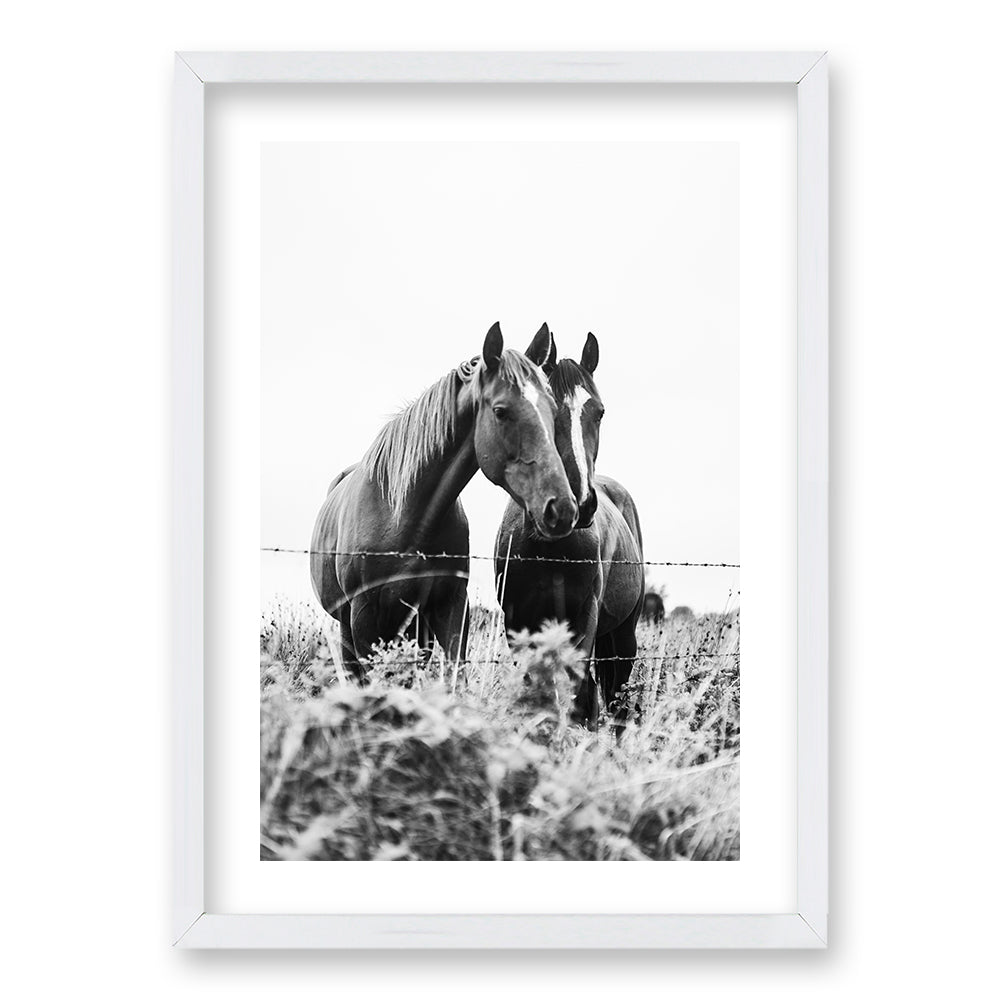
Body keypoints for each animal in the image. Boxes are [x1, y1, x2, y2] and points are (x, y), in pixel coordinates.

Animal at [311, 322, 578, 678]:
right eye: (501, 411)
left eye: (553, 410)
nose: (561, 509)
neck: (403, 515)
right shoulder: (363, 616)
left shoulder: (449, 607)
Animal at [494, 329, 645, 729]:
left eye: (600, 412)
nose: (580, 501)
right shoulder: (518, 623)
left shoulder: (584, 619)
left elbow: (578, 696)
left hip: (623, 636)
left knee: (613, 699)